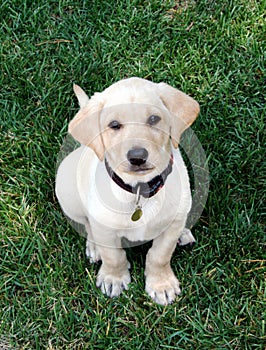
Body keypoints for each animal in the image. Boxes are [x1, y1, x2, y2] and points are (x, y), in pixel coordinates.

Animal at [55, 78, 198, 304]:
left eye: (154, 118)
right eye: (114, 125)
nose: (137, 156)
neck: (139, 189)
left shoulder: (170, 228)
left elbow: (159, 255)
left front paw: (161, 284)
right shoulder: (105, 227)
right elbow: (113, 257)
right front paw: (113, 278)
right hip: (67, 192)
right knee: (87, 223)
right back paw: (94, 247)